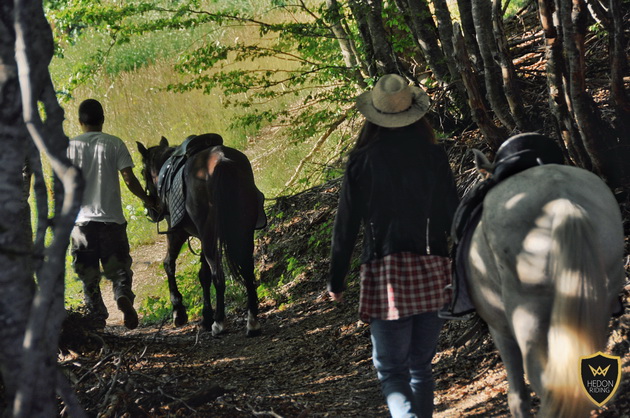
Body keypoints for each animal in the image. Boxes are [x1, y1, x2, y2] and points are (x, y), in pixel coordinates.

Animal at [138, 136, 266, 336]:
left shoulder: (177, 232)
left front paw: (179, 310)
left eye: (143, 172)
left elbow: (169, 264)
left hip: (208, 234)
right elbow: (203, 274)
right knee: (246, 269)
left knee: (218, 275)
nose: (152, 211)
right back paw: (252, 322)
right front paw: (206, 317)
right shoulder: (202, 237)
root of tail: (222, 161)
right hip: (241, 231)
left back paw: (219, 323)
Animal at [466, 162, 624, 416]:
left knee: (544, 380)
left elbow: (517, 394)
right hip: (600, 298)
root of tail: (562, 201)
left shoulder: (499, 329)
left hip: (527, 314)